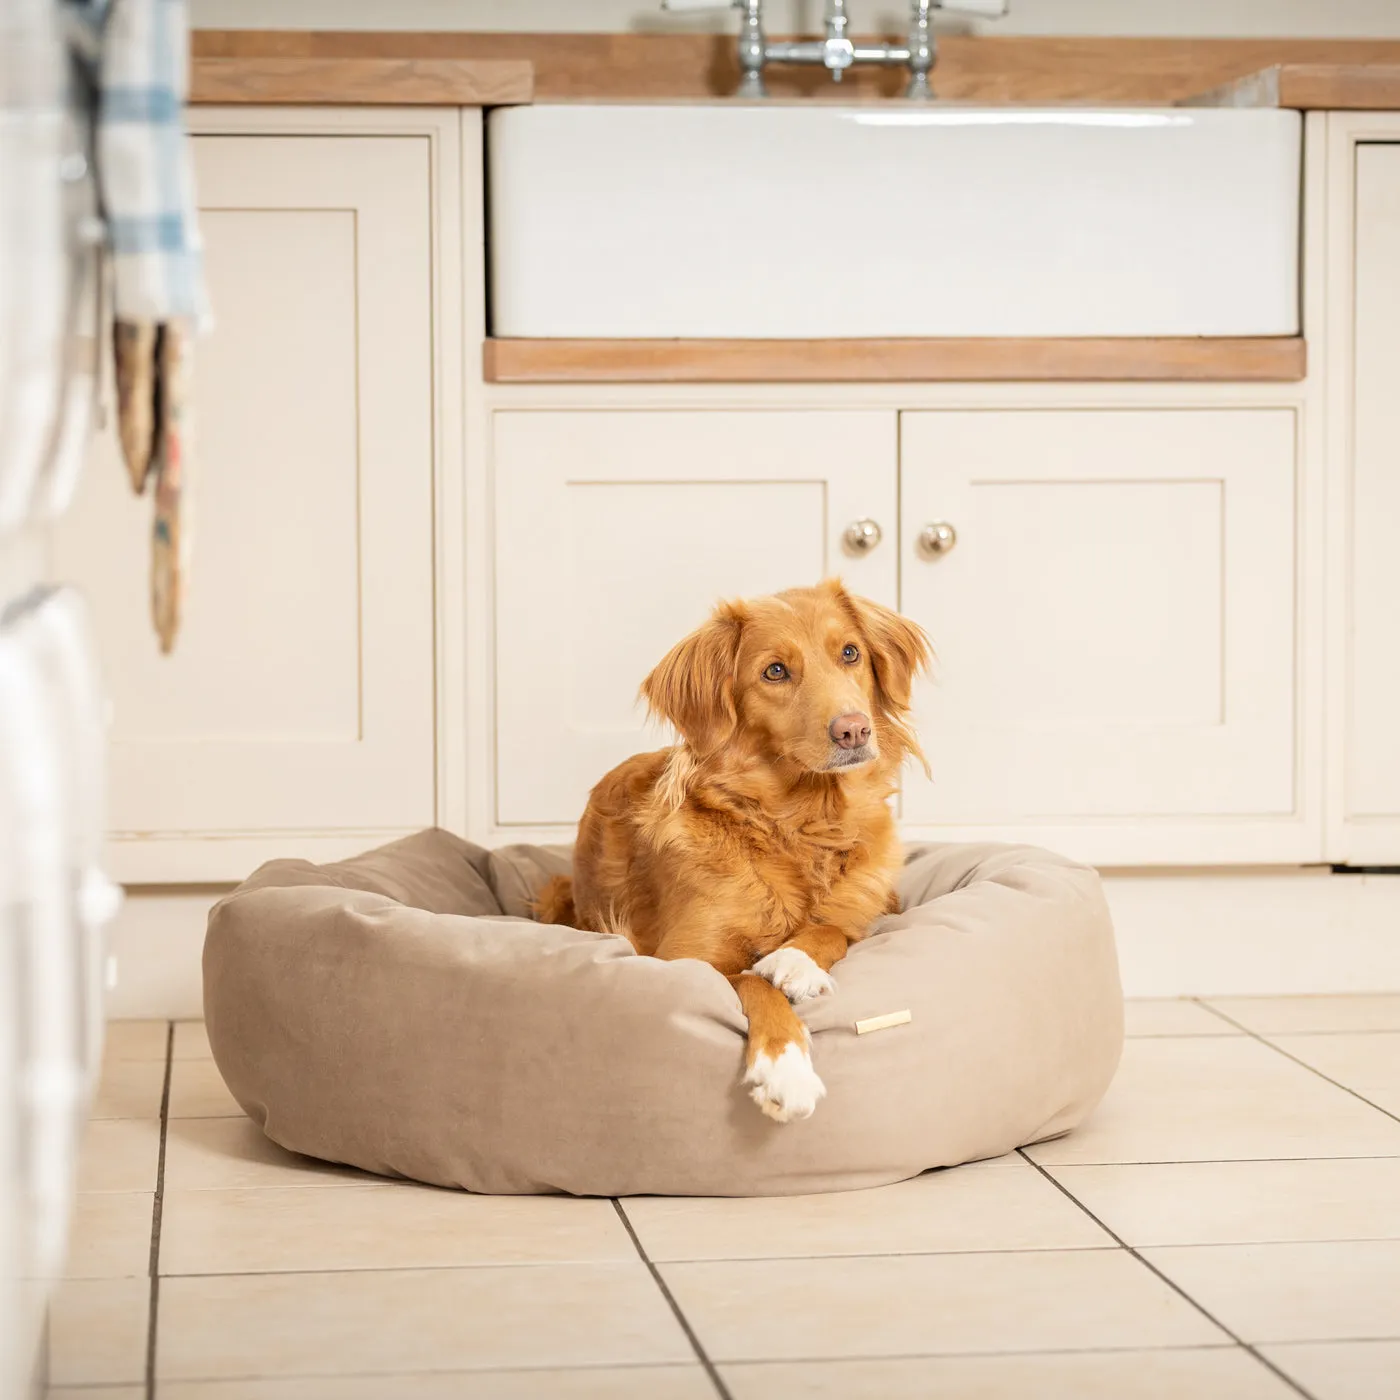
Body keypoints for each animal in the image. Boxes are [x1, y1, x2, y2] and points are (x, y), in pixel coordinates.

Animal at [534, 574, 929, 1120]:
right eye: (775, 671)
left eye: (850, 652)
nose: (853, 729)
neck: (804, 824)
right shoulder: (683, 959)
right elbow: (750, 980)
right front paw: (786, 1070)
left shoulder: (866, 915)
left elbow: (831, 929)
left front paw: (795, 959)